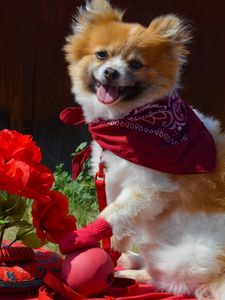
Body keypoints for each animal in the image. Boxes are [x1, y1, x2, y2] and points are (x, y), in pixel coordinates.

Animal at [62, 1, 225, 298]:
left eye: (135, 64)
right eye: (102, 55)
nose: (111, 72)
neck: (126, 122)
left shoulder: (148, 188)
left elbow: (112, 214)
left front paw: (87, 236)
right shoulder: (113, 180)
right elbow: (118, 218)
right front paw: (115, 247)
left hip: (186, 257)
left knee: (171, 282)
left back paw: (127, 272)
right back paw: (129, 261)